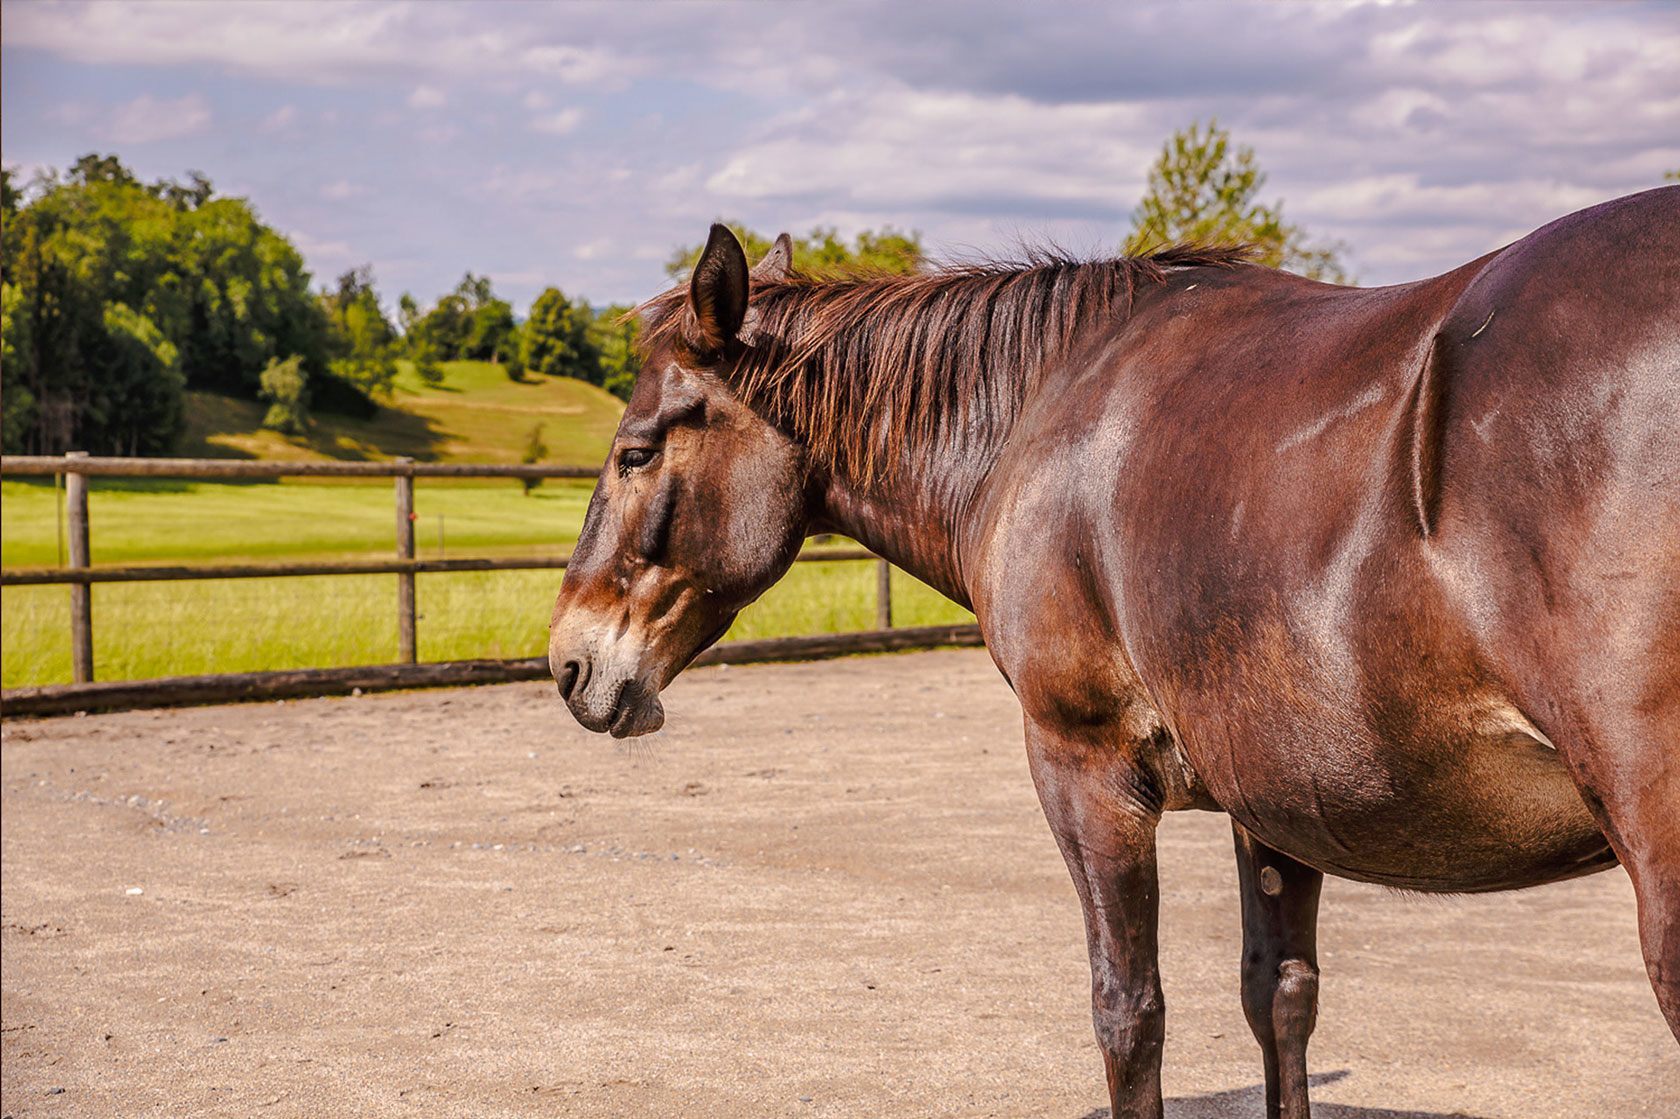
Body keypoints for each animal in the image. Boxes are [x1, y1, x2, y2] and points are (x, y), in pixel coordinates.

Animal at [547, 186, 1680, 1118]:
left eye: (635, 451)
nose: (568, 662)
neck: (1045, 411)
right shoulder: (1279, 799)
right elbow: (1280, 1002)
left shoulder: (1086, 769)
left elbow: (1128, 1014)